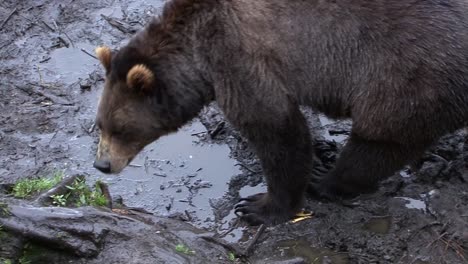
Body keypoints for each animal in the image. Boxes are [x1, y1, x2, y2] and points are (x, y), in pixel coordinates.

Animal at [93, 0, 468, 226]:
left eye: (120, 129)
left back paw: (327, 180)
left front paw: (257, 206)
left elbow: (277, 129)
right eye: (99, 125)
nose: (102, 164)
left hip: (404, 75)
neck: (195, 51)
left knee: (379, 140)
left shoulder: (239, 58)